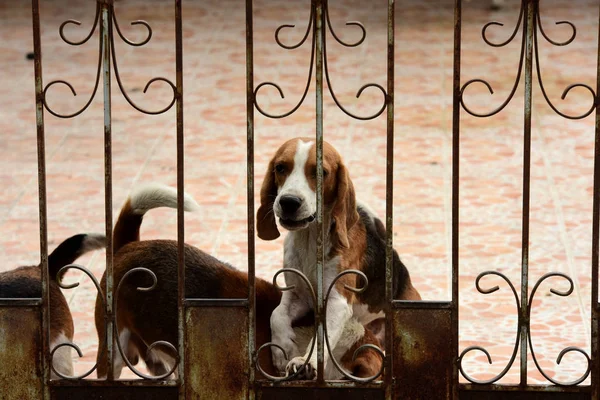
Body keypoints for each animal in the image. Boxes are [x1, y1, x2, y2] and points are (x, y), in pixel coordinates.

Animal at [258, 138, 422, 378]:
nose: (289, 202)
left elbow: (320, 339)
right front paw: (283, 350)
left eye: (321, 172)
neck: (310, 240)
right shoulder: (298, 295)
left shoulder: (337, 302)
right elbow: (276, 315)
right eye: (280, 167)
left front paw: (306, 363)